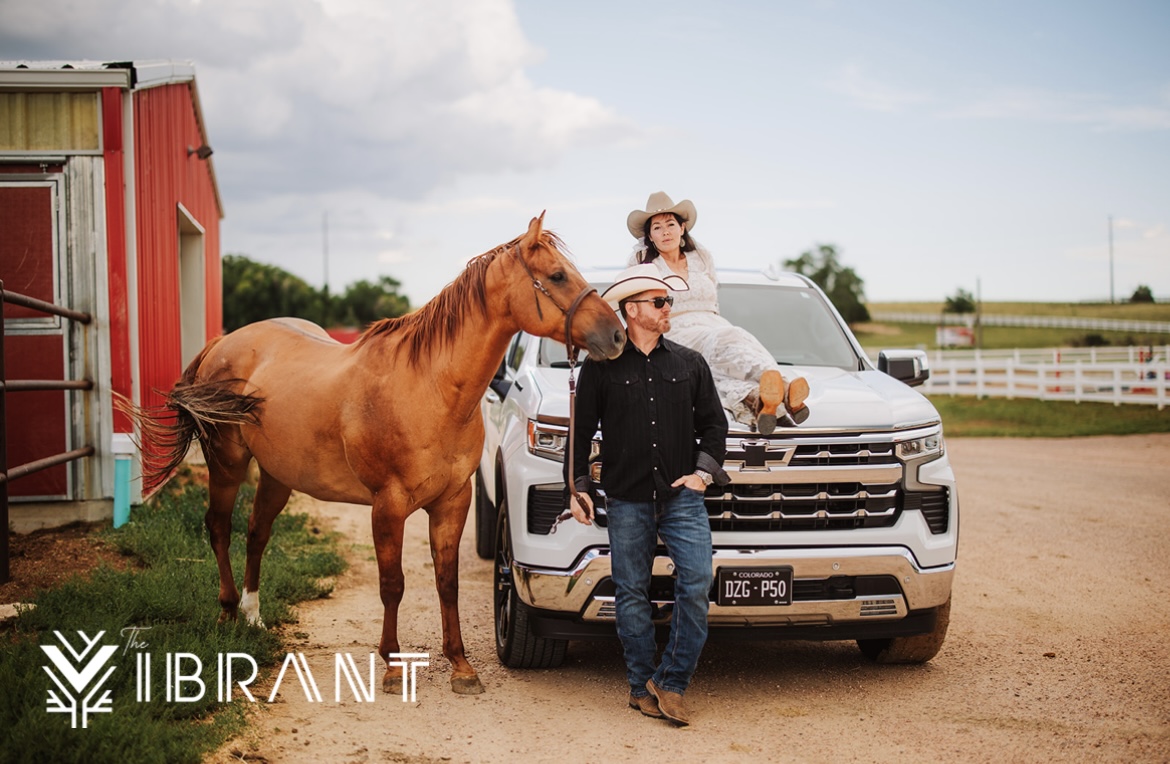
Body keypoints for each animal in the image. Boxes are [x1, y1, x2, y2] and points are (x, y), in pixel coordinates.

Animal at [121, 212, 622, 692]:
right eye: (557, 275)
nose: (617, 336)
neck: (429, 388)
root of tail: (221, 344)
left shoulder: (453, 502)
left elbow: (447, 583)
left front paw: (461, 667)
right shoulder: (389, 504)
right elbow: (393, 584)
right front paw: (393, 666)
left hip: (277, 475)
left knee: (257, 533)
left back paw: (254, 616)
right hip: (227, 463)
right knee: (220, 528)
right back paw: (227, 613)